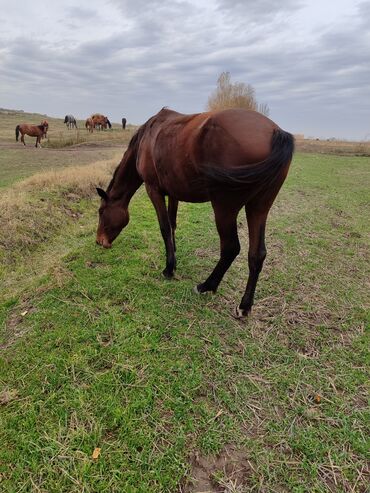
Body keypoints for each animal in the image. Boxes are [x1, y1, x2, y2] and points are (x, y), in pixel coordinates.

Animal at [96, 107, 294, 316]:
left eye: (101, 212)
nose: (99, 241)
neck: (147, 138)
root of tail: (275, 132)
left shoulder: (154, 190)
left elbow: (164, 228)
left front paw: (169, 269)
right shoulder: (173, 193)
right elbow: (172, 225)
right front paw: (174, 255)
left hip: (224, 208)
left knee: (231, 248)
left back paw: (206, 286)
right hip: (258, 208)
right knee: (257, 254)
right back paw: (244, 306)